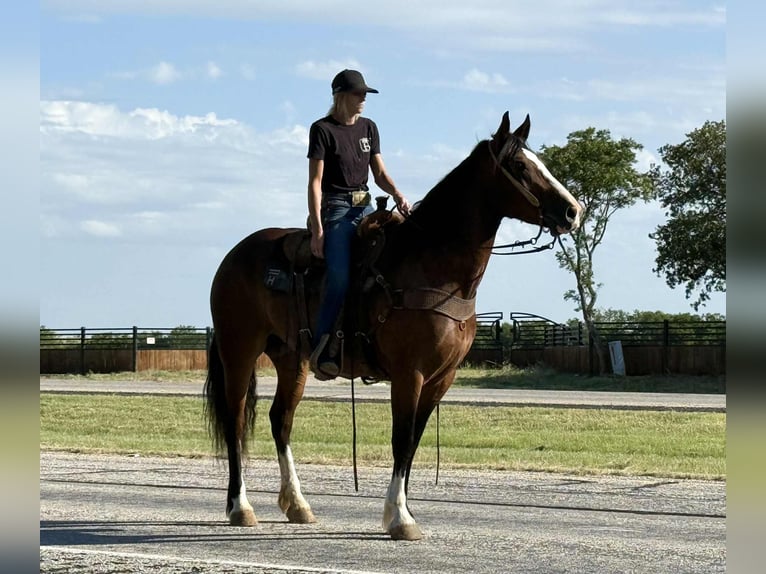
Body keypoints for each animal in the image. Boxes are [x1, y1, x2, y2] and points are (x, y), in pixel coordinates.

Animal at [204, 112, 582, 541]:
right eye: (520, 165)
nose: (572, 211)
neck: (433, 266)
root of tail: (233, 256)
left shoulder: (441, 378)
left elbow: (414, 441)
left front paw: (403, 511)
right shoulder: (408, 374)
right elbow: (400, 439)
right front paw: (400, 518)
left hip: (291, 360)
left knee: (280, 421)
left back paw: (298, 504)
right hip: (239, 351)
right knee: (235, 420)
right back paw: (240, 507)